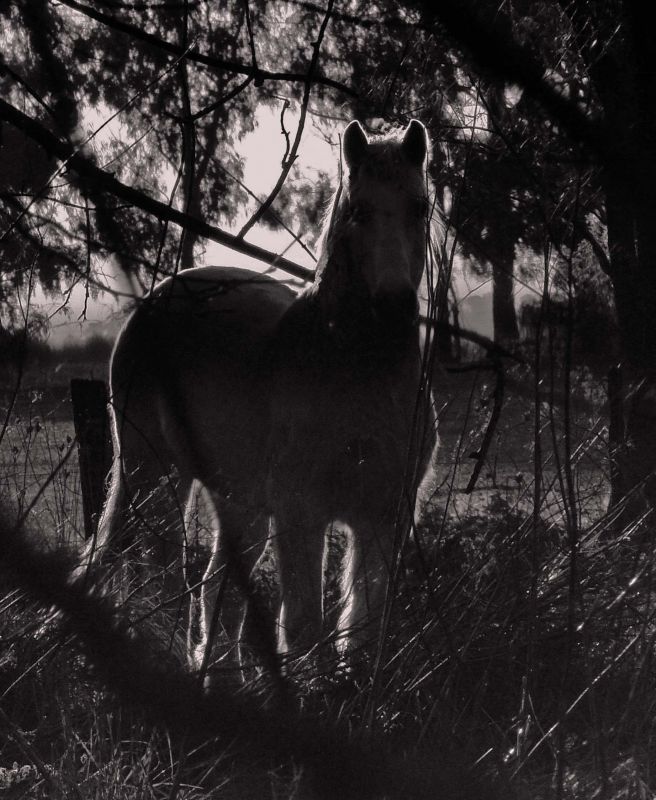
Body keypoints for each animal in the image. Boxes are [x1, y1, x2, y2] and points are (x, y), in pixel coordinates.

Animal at [80, 119, 440, 680]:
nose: (393, 304)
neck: (357, 374)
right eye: (359, 210)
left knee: (212, 585)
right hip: (152, 472)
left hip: (236, 500)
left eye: (420, 206)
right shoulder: (301, 515)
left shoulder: (384, 516)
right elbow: (305, 626)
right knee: (149, 569)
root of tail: (154, 301)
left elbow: (363, 625)